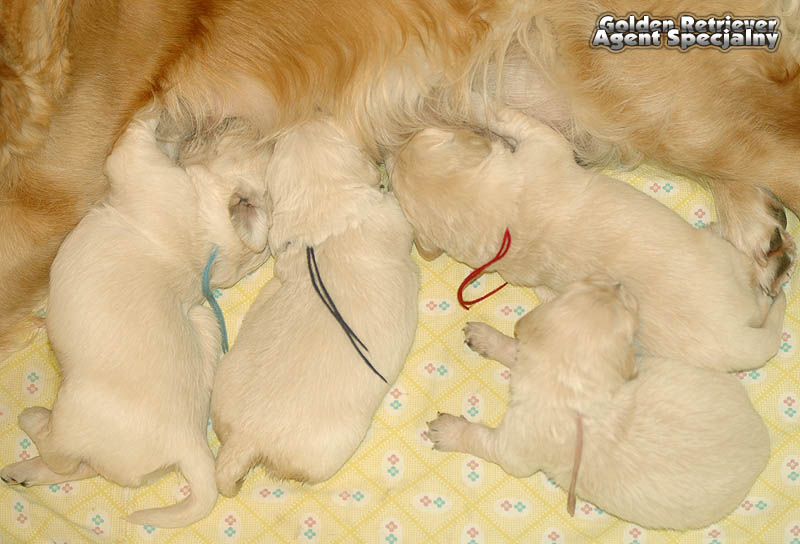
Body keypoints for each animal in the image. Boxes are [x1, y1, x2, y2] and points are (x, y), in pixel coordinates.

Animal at [0, 109, 271, 527]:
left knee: (62, 457)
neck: (218, 241)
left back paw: (33, 422)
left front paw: (160, 116)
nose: (236, 117)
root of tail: (189, 443)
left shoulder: (143, 169)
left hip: (77, 409)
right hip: (201, 326)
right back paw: (22, 472)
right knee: (84, 467)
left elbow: (133, 139)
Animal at [390, 105, 786, 371]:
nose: (394, 146)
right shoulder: (544, 146)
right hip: (730, 265)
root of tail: (740, 342)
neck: (500, 215)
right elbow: (516, 119)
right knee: (759, 291)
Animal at [427, 276, 771, 530]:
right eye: (589, 285)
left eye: (629, 307)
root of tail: (762, 440)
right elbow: (517, 349)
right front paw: (487, 338)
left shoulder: (515, 447)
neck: (570, 380)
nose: (619, 282)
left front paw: (449, 431)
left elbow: (483, 440)